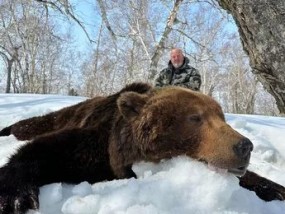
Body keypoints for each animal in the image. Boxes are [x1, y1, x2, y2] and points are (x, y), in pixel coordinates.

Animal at [0, 81, 282, 212]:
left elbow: (253, 180)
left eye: (222, 117)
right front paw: (15, 197)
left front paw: (277, 189)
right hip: (62, 116)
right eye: (195, 118)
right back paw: (7, 129)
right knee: (31, 124)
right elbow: (43, 151)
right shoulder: (96, 146)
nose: (244, 145)